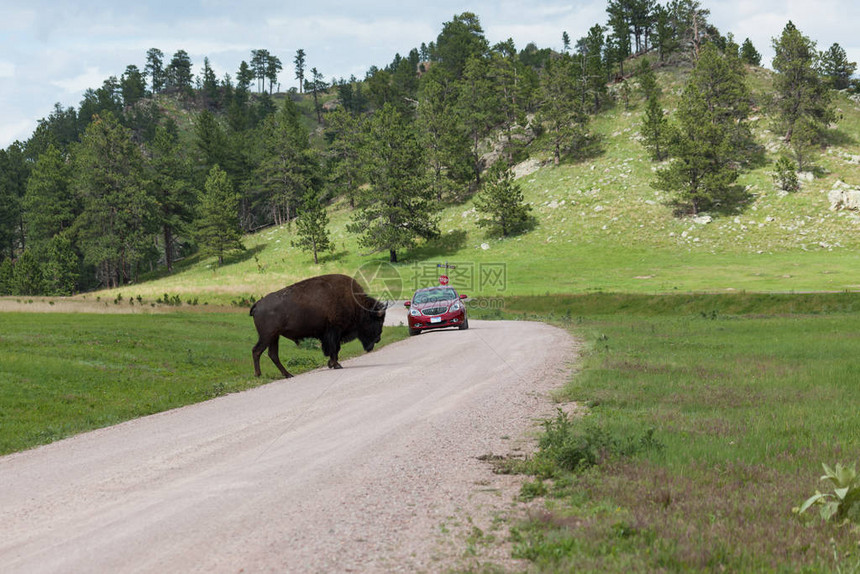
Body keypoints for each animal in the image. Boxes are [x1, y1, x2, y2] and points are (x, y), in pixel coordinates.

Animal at [249, 274, 382, 378]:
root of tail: (257, 304)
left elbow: (334, 349)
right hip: (267, 336)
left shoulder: (330, 334)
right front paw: (336, 365)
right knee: (257, 351)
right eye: (376, 320)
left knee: (272, 354)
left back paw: (288, 374)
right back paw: (258, 374)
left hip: (274, 337)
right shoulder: (334, 331)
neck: (355, 302)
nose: (378, 339)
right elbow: (334, 348)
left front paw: (331, 364)